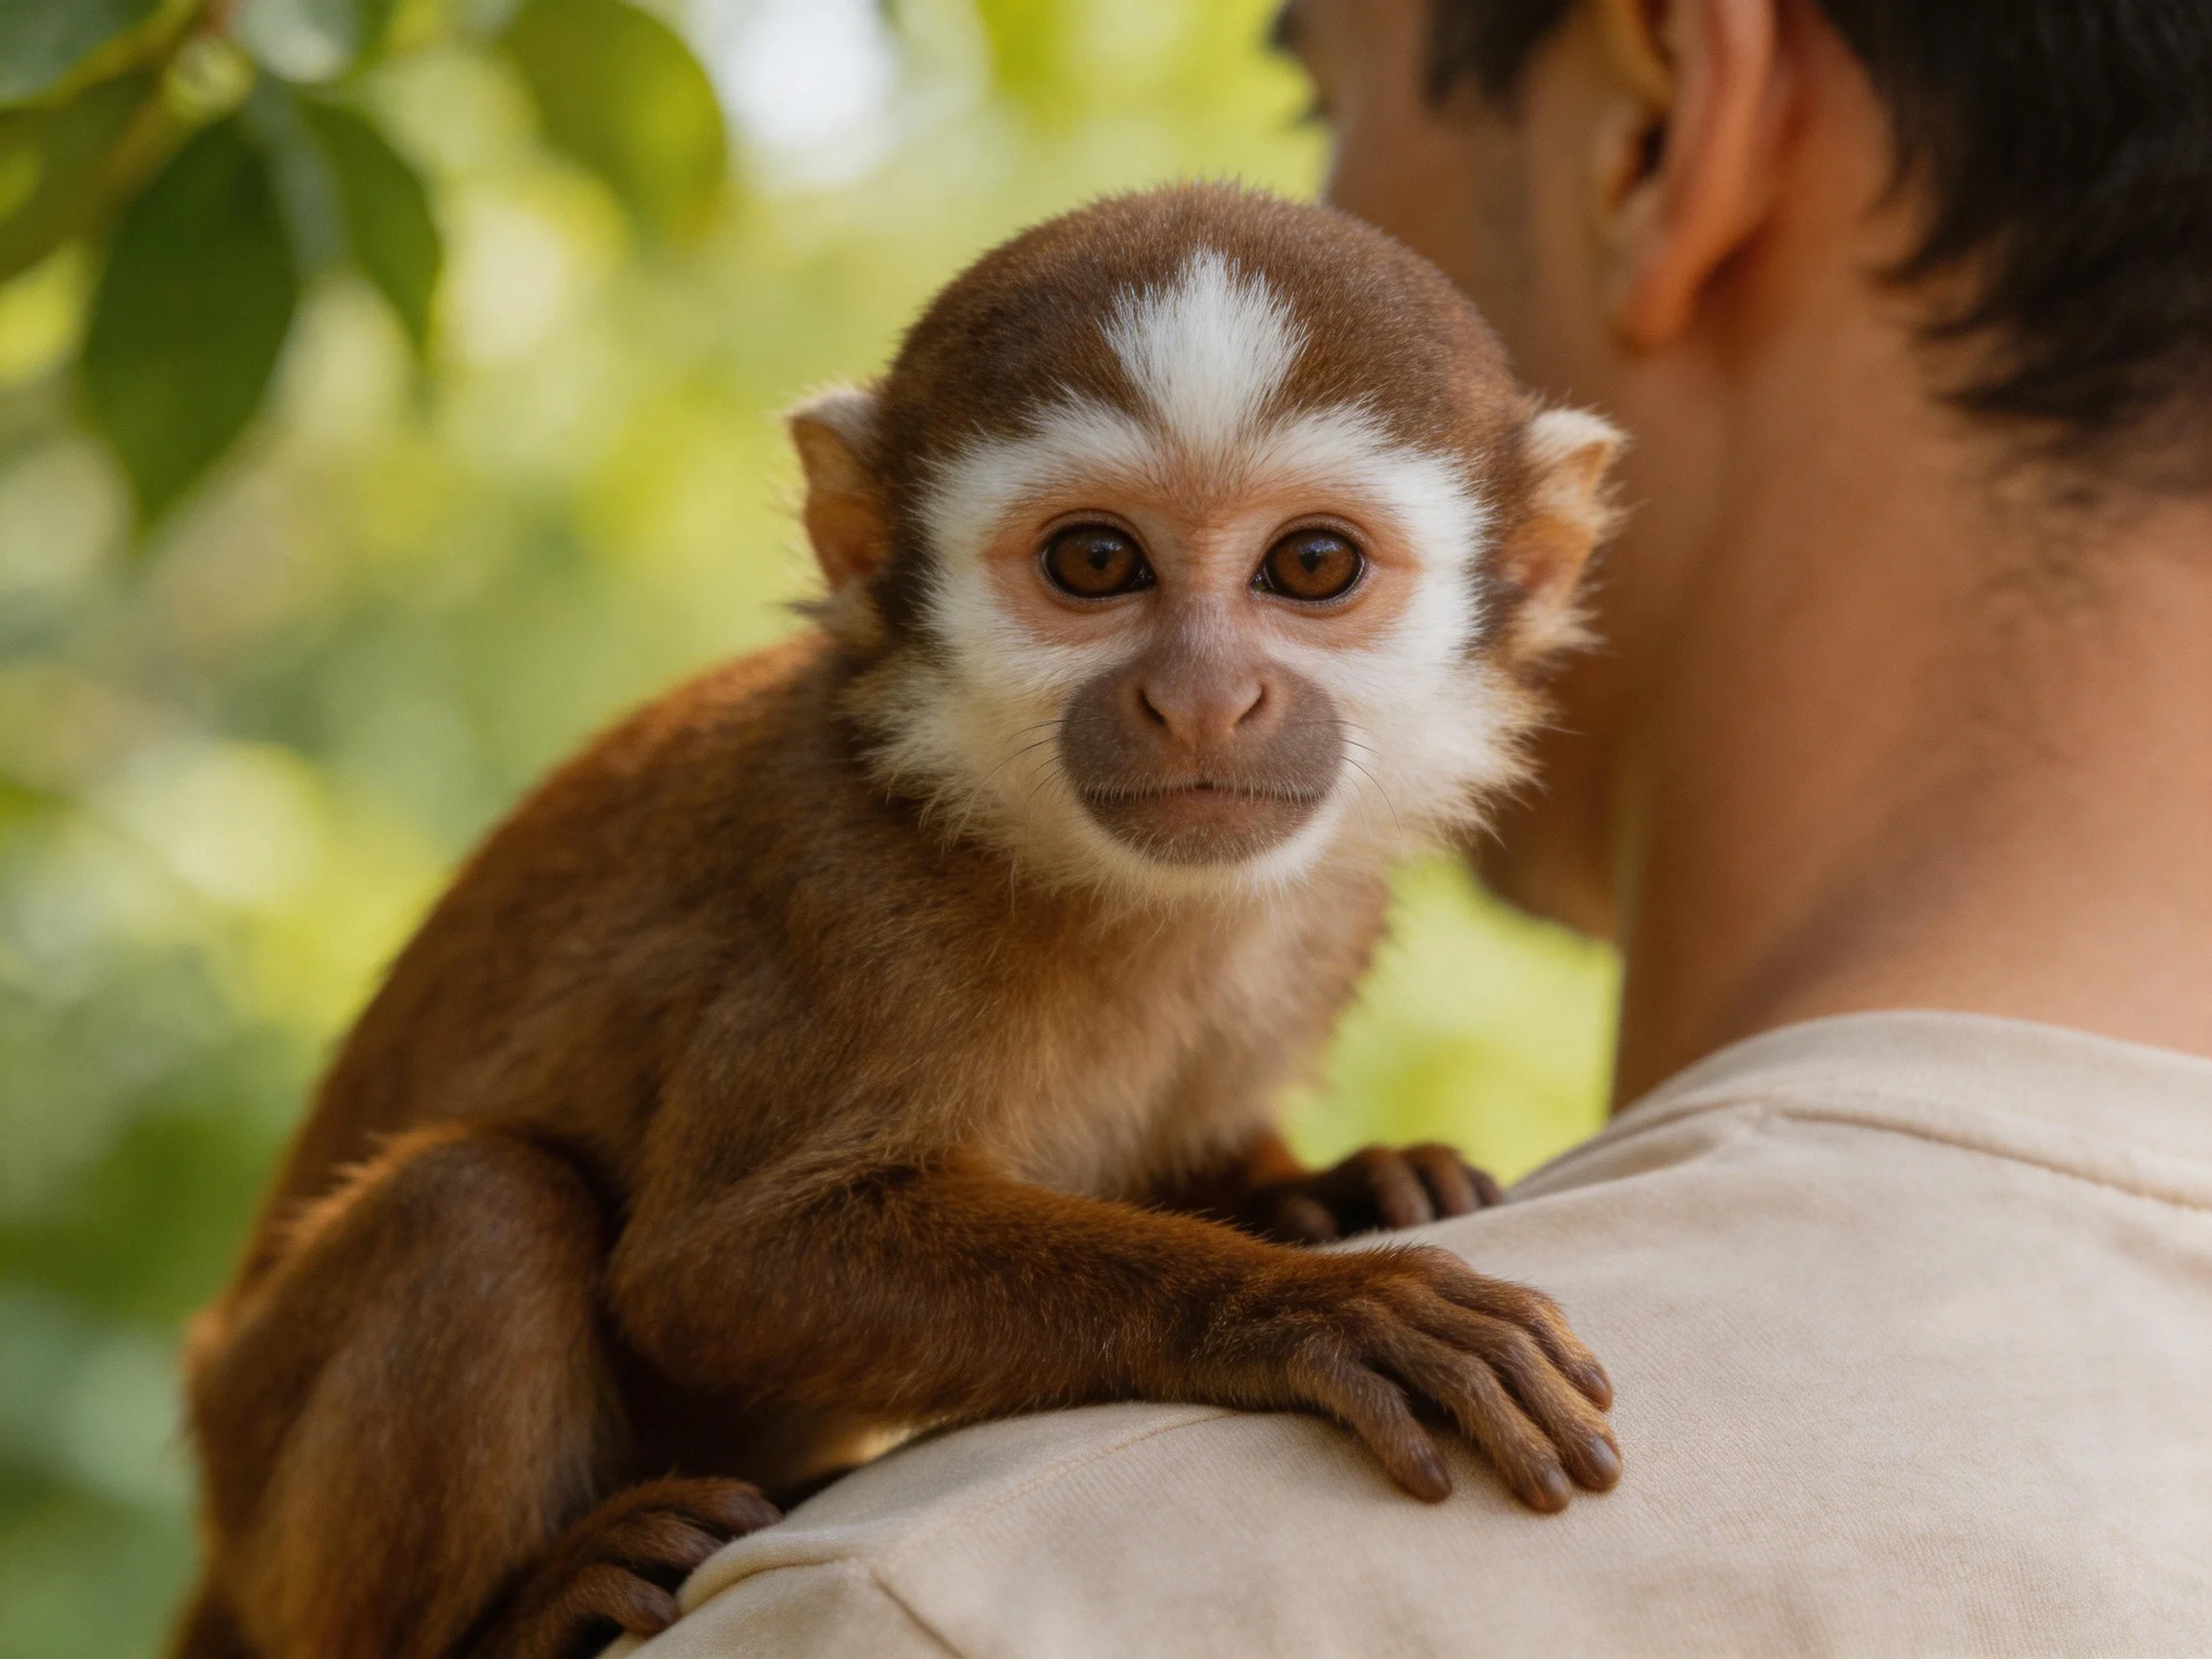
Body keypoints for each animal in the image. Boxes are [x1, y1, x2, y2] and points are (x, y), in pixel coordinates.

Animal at [172, 183, 1627, 1659]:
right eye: (1096, 560)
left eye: (1313, 564)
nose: (1202, 701)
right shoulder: (845, 891)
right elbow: (718, 1266)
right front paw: (1304, 1308)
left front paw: (1345, 1188)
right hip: (256, 1470)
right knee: (475, 1204)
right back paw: (523, 1611)